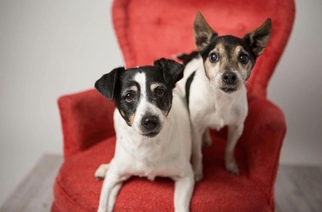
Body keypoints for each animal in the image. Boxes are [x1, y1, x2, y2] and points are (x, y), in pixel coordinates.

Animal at [93, 58, 194, 212]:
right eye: (129, 96)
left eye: (160, 91)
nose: (150, 120)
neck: (147, 144)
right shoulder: (114, 177)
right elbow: (103, 205)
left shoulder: (185, 176)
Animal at [176, 12, 272, 181]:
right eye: (213, 56)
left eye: (244, 58)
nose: (229, 76)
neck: (221, 98)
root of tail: (192, 54)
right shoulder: (195, 129)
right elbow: (197, 153)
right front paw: (197, 172)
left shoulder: (237, 127)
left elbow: (229, 148)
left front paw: (230, 165)